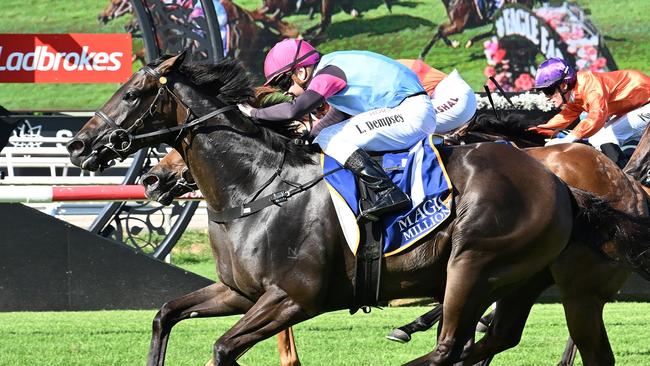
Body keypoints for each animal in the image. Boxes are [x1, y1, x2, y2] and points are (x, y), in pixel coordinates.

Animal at [67, 55, 632, 366]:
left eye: (133, 93)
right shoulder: (237, 292)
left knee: (453, 344)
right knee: (498, 340)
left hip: (473, 264)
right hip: (520, 278)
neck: (257, 190)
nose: (77, 145)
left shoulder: (294, 298)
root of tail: (559, 183)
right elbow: (165, 315)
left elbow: (224, 348)